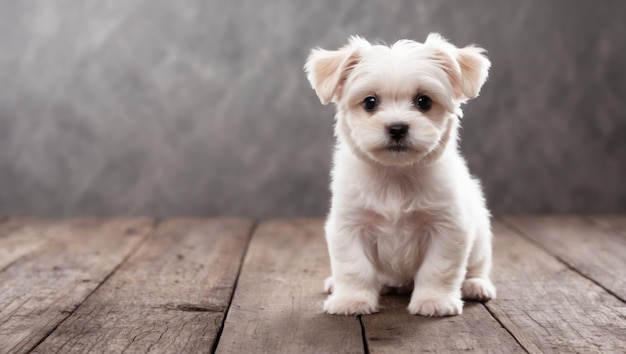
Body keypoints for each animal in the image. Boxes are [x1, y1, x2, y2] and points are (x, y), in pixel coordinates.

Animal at [304, 33, 494, 316]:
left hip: (480, 235)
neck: (395, 174)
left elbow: (438, 269)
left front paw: (433, 301)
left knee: (477, 266)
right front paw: (352, 300)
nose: (397, 128)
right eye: (370, 102)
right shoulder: (349, 226)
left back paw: (475, 285)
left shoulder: (449, 228)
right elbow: (354, 268)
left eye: (424, 101)